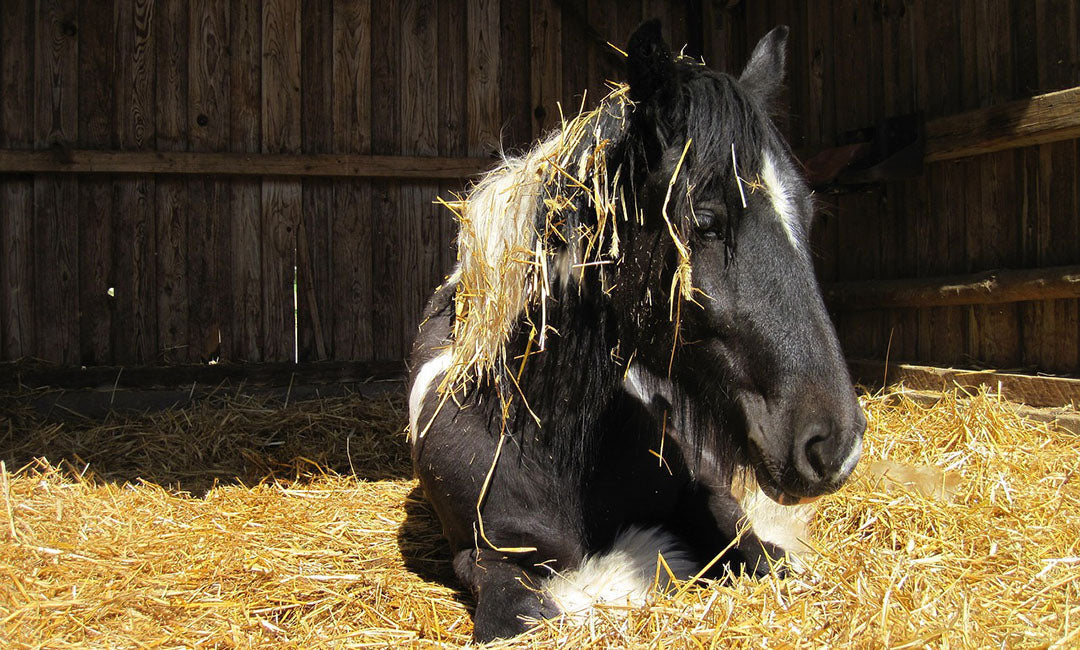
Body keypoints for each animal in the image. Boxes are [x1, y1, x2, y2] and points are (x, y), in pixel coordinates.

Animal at [406, 20, 866, 642]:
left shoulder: (709, 496)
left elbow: (761, 557)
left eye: (809, 215)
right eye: (706, 221)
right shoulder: (486, 562)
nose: (835, 445)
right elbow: (532, 607)